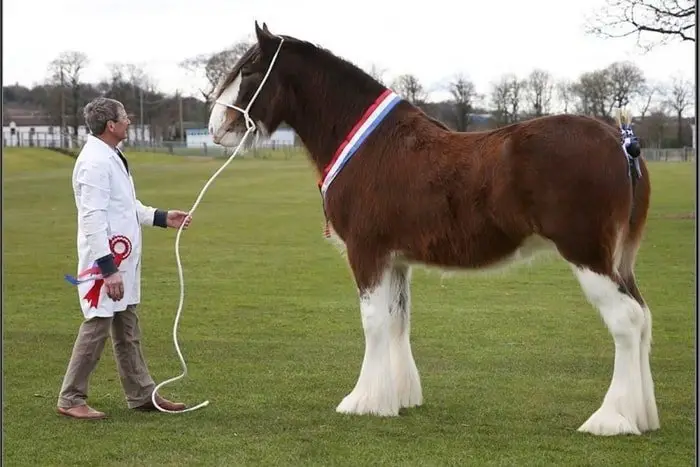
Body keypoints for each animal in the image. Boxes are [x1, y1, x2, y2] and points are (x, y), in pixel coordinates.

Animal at [208, 22, 656, 438]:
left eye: (249, 70)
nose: (216, 126)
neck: (371, 145)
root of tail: (622, 142)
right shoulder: (396, 259)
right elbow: (397, 320)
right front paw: (399, 397)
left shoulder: (366, 252)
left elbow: (373, 321)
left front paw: (363, 401)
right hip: (620, 261)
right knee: (643, 317)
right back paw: (642, 416)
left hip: (587, 256)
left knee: (626, 321)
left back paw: (611, 419)